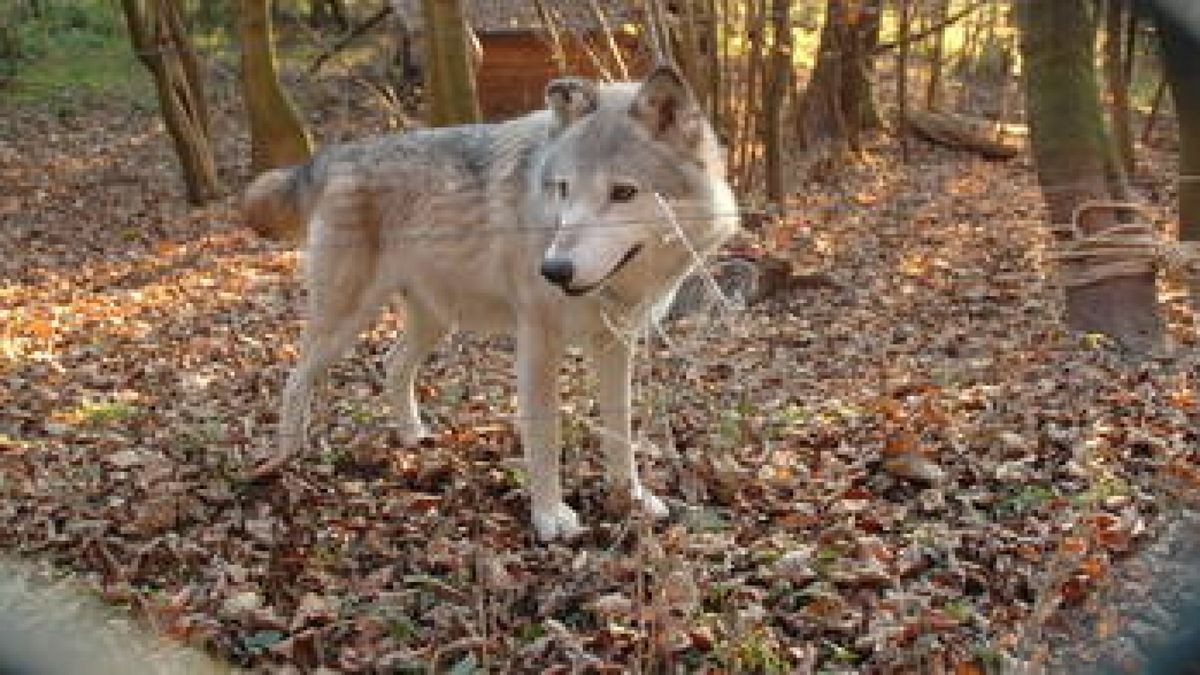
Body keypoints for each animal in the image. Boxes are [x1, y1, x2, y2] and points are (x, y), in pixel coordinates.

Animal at [244, 66, 739, 540]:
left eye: (623, 192)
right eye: (563, 189)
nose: (553, 270)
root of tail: (333, 156)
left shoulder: (615, 344)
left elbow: (620, 431)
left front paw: (630, 499)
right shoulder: (538, 343)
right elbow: (545, 437)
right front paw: (550, 517)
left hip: (433, 320)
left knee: (392, 363)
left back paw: (413, 437)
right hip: (345, 322)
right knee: (295, 379)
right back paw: (285, 460)